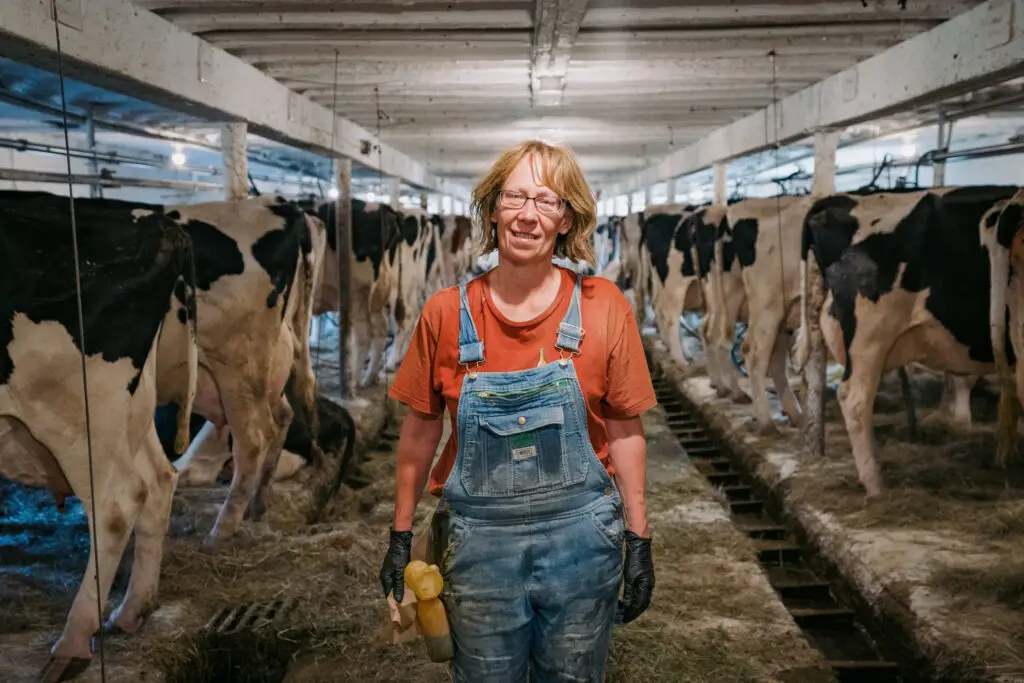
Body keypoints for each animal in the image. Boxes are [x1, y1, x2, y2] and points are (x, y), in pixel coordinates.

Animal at [0, 191, 197, 679]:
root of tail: (162, 223)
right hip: (128, 411)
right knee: (159, 478)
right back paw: (133, 611)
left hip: (76, 412)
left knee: (116, 503)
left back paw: (72, 643)